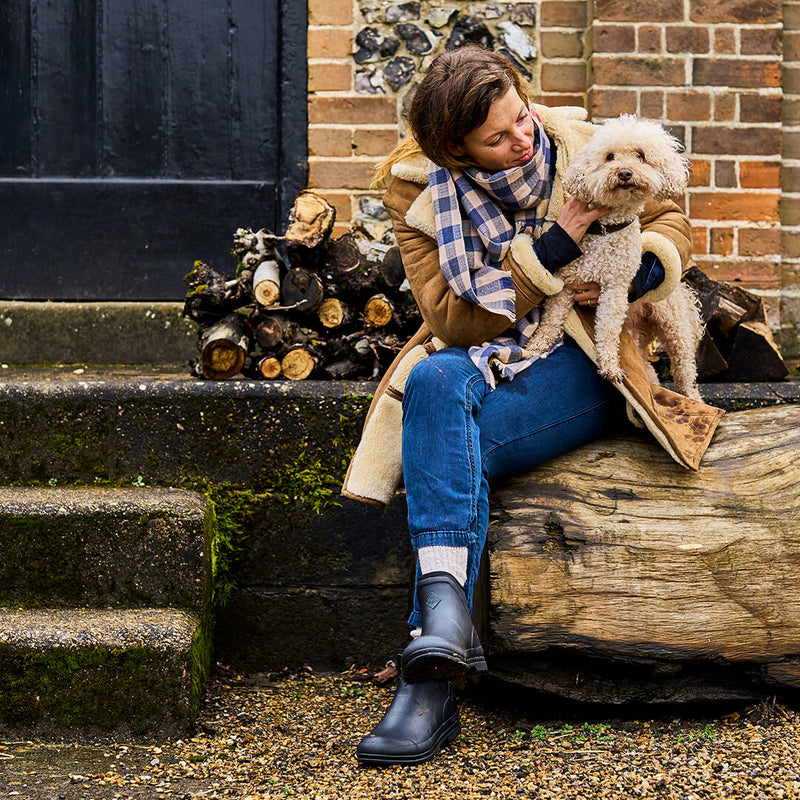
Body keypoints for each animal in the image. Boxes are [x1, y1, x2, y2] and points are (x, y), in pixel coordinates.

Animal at [524, 115, 700, 396]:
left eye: (640, 156)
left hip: (674, 325)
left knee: (684, 369)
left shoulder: (614, 291)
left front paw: (609, 367)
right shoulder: (567, 284)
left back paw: (693, 396)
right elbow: (551, 320)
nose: (624, 173)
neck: (606, 230)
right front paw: (536, 345)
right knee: (649, 370)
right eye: (609, 157)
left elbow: (606, 330)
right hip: (636, 331)